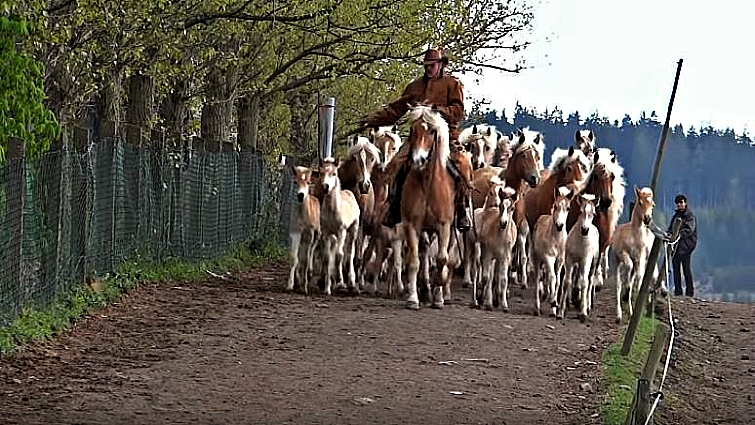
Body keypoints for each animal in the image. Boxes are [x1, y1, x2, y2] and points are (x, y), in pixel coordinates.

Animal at [286, 166, 321, 295]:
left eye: (308, 182)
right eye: (295, 181)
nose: (300, 195)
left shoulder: (309, 233)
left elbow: (305, 258)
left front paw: (304, 287)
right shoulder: (295, 232)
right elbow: (294, 258)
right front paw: (291, 284)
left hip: (317, 234)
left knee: (311, 250)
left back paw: (309, 274)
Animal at [399, 105, 456, 310]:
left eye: (431, 131)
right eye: (412, 129)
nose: (418, 160)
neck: (427, 184)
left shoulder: (444, 226)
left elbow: (442, 259)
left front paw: (439, 292)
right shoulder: (412, 225)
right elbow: (414, 261)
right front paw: (413, 298)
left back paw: (440, 294)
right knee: (423, 253)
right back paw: (424, 289)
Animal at [611, 187, 655, 324]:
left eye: (652, 205)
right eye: (640, 202)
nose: (647, 218)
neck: (635, 237)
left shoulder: (640, 257)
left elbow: (639, 277)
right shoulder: (623, 254)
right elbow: (628, 267)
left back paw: (630, 311)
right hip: (616, 261)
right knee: (618, 284)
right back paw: (619, 314)